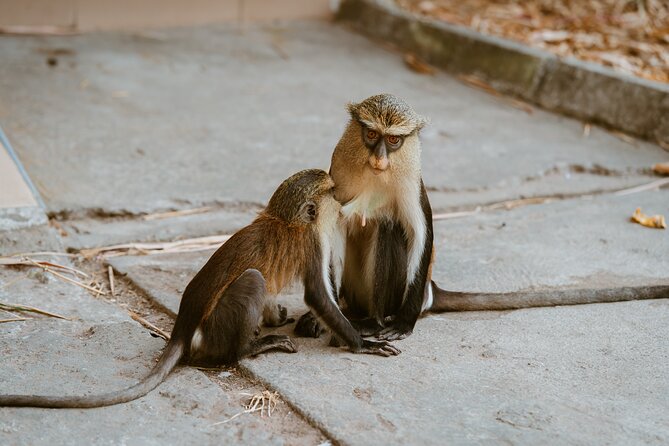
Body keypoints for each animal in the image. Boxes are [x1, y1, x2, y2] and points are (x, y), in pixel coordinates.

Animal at [0, 169, 399, 409]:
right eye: (332, 189)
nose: (344, 192)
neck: (286, 219)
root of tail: (183, 328)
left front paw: (280, 315)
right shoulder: (313, 244)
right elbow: (316, 295)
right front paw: (363, 345)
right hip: (219, 326)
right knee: (253, 281)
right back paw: (248, 348)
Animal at [294, 93, 669, 342]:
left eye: (394, 140)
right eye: (372, 135)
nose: (380, 158)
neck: (377, 175)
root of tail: (431, 290)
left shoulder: (411, 185)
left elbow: (421, 233)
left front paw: (403, 324)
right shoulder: (338, 176)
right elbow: (329, 236)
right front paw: (318, 315)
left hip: (404, 292)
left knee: (389, 228)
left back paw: (373, 321)